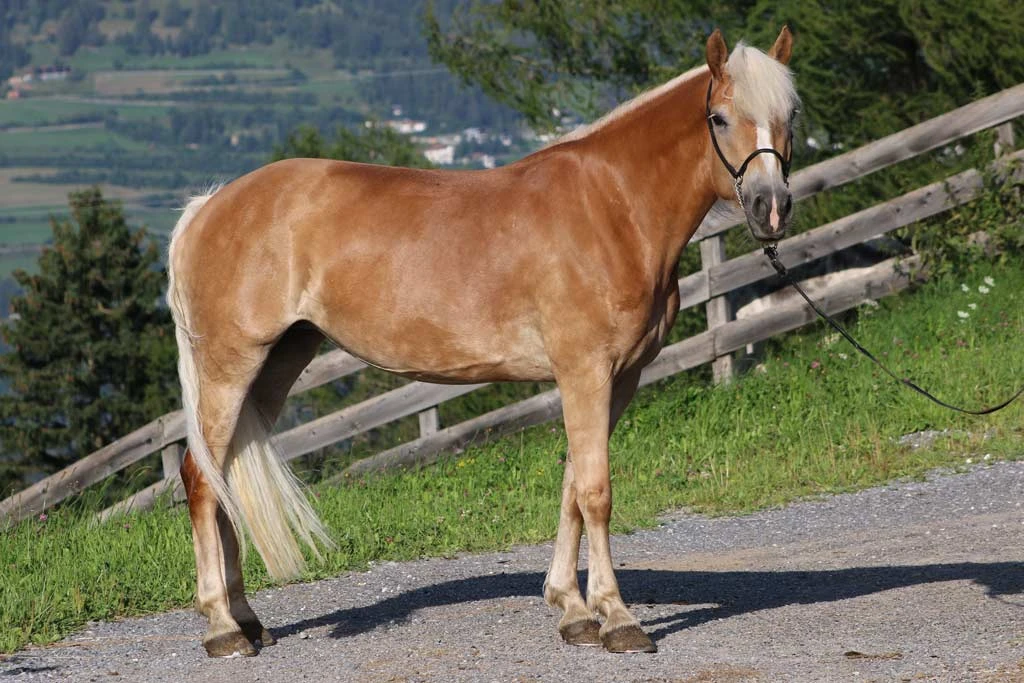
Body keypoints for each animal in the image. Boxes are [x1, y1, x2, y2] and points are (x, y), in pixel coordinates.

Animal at [166, 27, 799, 657]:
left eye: (790, 114)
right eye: (718, 117)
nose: (770, 207)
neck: (611, 207)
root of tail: (208, 206)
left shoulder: (618, 377)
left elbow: (572, 485)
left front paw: (573, 610)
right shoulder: (586, 371)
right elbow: (596, 491)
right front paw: (618, 618)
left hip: (278, 361)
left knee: (224, 478)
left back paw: (248, 619)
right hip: (229, 367)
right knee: (201, 479)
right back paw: (223, 627)